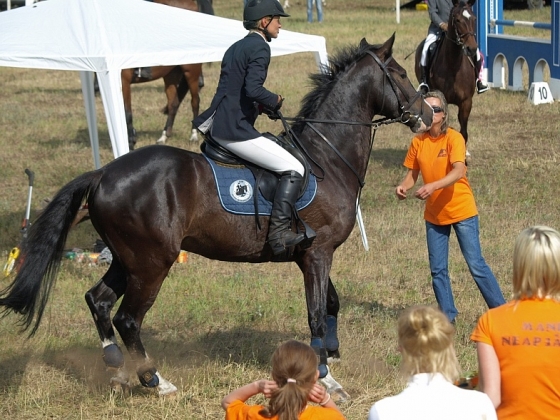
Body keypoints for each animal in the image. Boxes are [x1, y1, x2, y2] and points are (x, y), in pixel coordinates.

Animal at [0, 35, 434, 398]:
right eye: (399, 73)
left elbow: (331, 304)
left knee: (99, 300)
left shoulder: (311, 254)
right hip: (152, 263)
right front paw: (326, 378)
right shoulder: (318, 253)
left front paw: (332, 358)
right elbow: (315, 313)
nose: (429, 115)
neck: (326, 158)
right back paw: (154, 379)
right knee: (127, 318)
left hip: (128, 258)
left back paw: (117, 365)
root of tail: (104, 173)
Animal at [414, 0, 480, 146]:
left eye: (474, 19)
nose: (472, 49)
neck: (453, 65)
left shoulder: (466, 102)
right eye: (457, 20)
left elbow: (463, 133)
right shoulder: (442, 100)